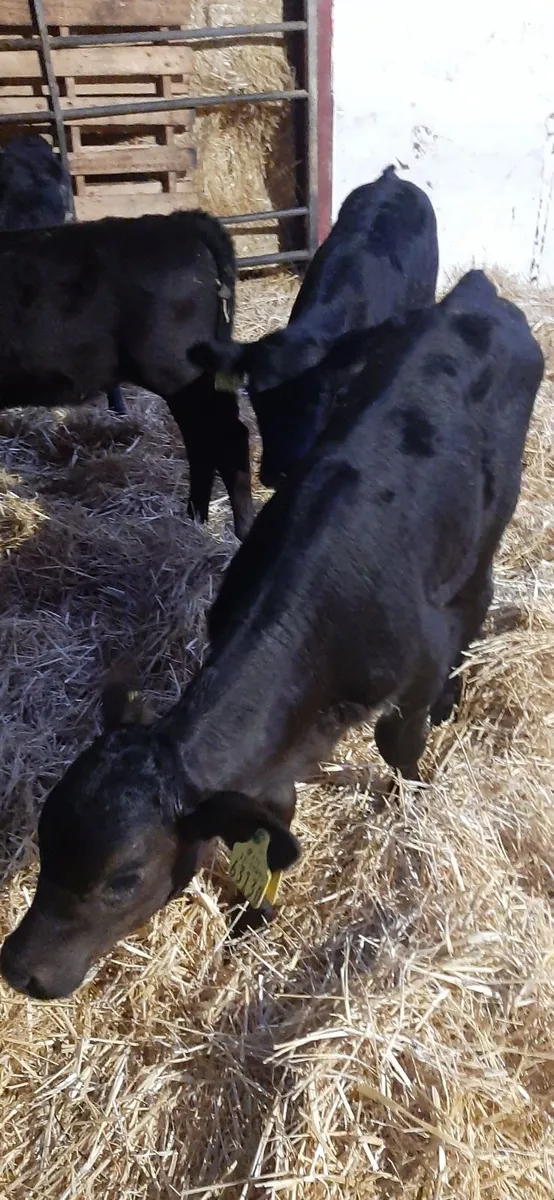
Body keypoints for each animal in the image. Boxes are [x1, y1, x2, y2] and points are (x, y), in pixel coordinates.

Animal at [0, 206, 253, 538]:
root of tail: (182, 220)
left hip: (180, 373)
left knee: (228, 438)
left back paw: (242, 531)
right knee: (203, 442)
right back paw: (194, 520)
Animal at [0, 270, 543, 1000]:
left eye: (124, 878)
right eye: (46, 838)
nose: (19, 968)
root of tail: (476, 295)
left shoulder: (414, 669)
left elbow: (398, 747)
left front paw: (416, 804)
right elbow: (271, 814)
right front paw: (255, 915)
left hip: (489, 528)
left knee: (478, 600)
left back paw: (455, 698)